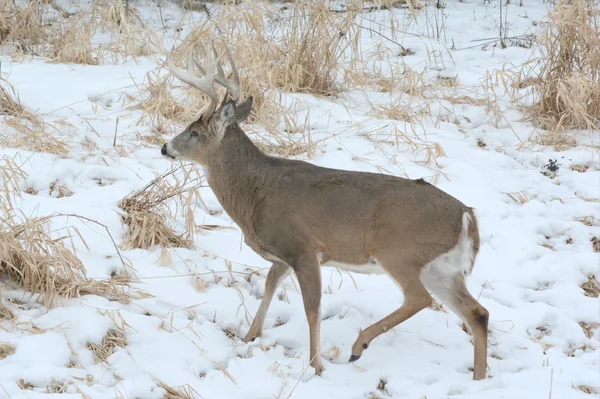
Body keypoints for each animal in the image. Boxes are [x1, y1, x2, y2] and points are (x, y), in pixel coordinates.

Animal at [162, 43, 490, 382]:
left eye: (194, 131)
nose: (165, 147)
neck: (254, 196)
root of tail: (467, 216)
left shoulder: (303, 247)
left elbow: (312, 309)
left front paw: (316, 365)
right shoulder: (283, 255)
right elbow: (269, 286)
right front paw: (249, 336)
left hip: (398, 251)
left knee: (420, 298)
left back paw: (359, 345)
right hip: (442, 268)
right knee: (477, 312)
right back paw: (478, 378)